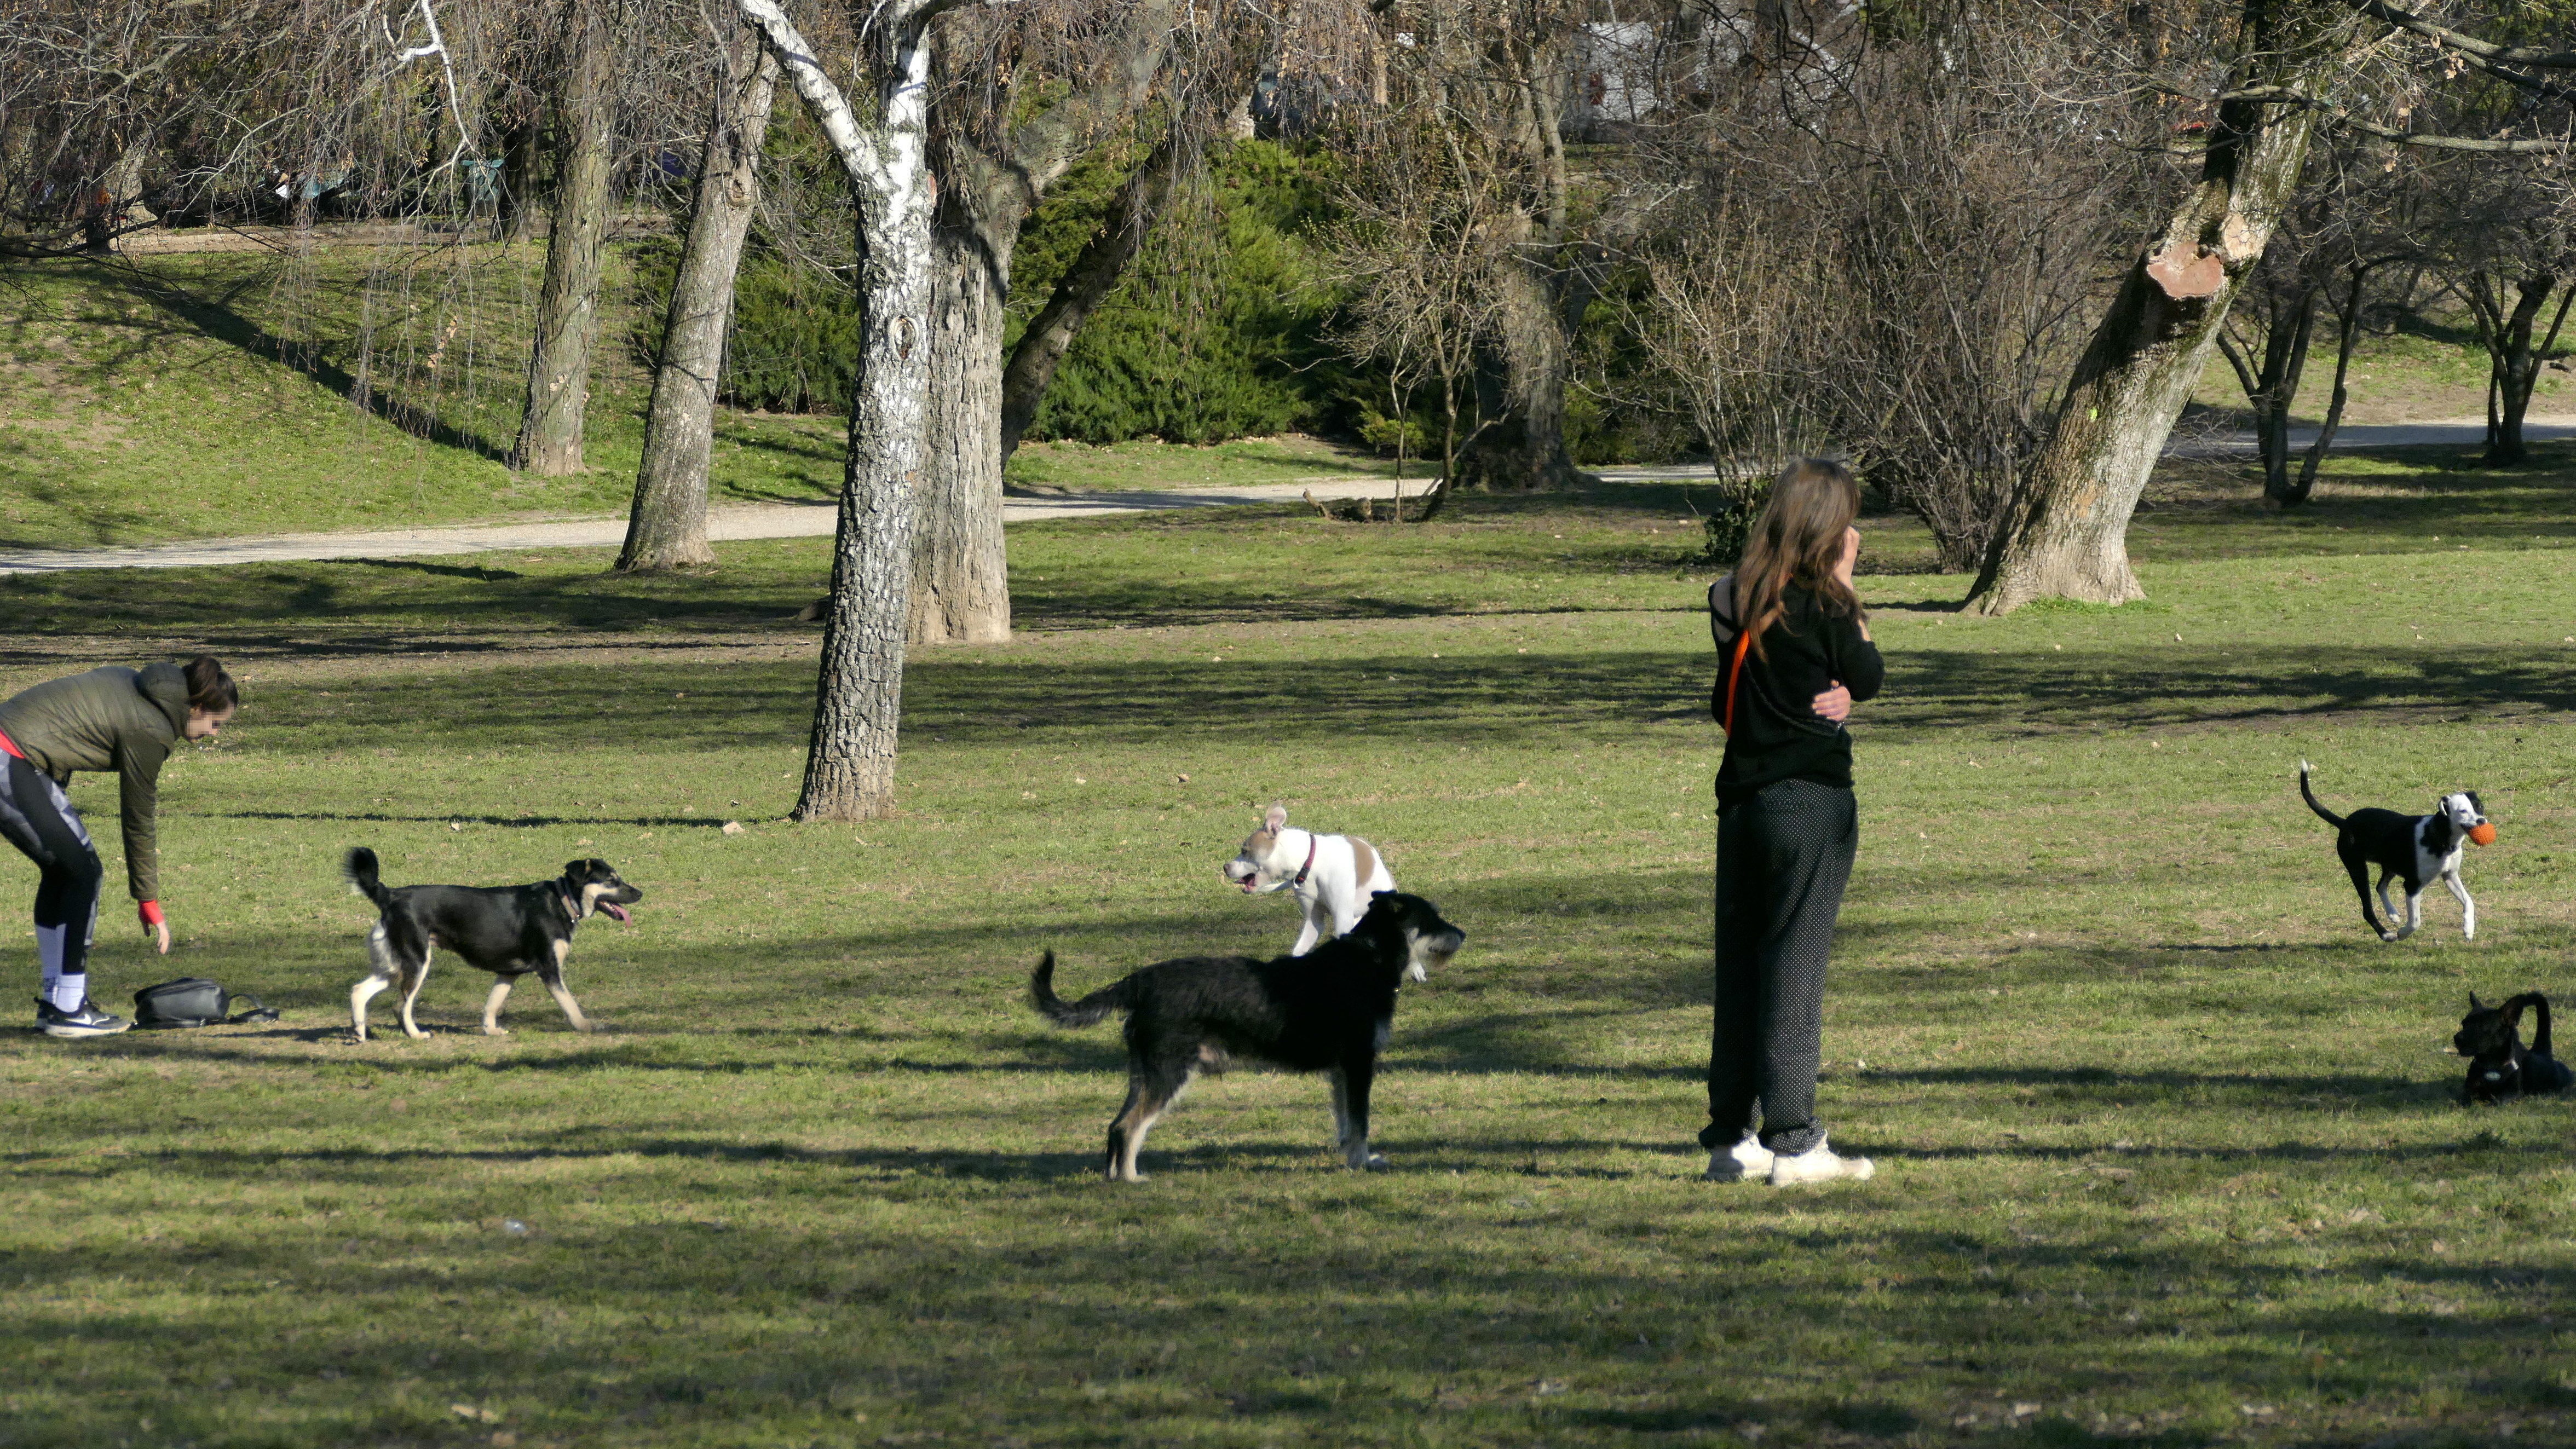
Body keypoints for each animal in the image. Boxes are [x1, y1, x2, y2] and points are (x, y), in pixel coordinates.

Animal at [348, 849, 644, 1044]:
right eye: (611, 881)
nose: (640, 893)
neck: (562, 901)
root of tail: (390, 895)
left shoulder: (509, 972)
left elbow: (492, 1003)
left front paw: (490, 1031)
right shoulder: (549, 969)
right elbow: (570, 1003)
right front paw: (585, 1026)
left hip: (395, 965)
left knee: (359, 990)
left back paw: (360, 1034)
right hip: (417, 962)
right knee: (401, 1006)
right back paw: (416, 1035)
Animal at [1030, 890, 1473, 1184]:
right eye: (1433, 918)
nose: (1463, 934)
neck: (1369, 957)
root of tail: (1141, 981)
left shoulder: (1341, 1071)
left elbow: (1347, 1123)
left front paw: (1351, 1159)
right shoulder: (1359, 1063)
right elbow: (1360, 1121)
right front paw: (1364, 1163)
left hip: (1145, 1074)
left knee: (1114, 1125)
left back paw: (1112, 1177)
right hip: (1170, 1074)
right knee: (1129, 1127)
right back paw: (1130, 1179)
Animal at [2308, 767, 2483, 947]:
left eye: (2480, 806)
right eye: (2463, 811)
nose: (2482, 821)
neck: (2436, 836)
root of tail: (2344, 823)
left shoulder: (2450, 876)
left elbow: (2469, 901)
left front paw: (2468, 929)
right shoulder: (2412, 886)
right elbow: (2415, 922)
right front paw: (2403, 933)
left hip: (2389, 865)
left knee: (2380, 886)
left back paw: (2392, 913)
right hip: (2358, 869)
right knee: (2367, 909)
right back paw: (2386, 935)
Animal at [2442, 993, 2566, 1106]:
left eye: (2480, 1027)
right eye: (2464, 1024)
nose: (2457, 1038)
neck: (2491, 1064)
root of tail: (2541, 1051)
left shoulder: (2513, 1092)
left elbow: (2499, 1100)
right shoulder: (2470, 1088)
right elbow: (2464, 1097)